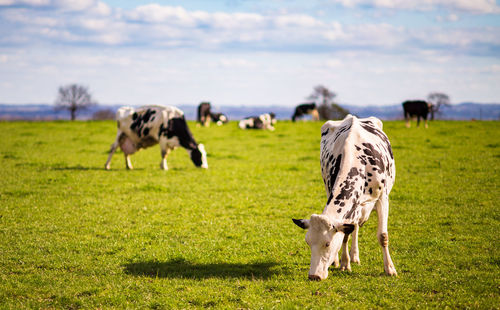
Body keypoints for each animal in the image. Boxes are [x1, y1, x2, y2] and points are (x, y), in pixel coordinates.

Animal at [292, 114, 396, 280]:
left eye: (327, 243)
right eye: (308, 242)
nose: (314, 276)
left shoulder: (383, 198)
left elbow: (382, 235)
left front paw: (390, 269)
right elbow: (346, 233)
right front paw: (344, 263)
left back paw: (355, 256)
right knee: (354, 227)